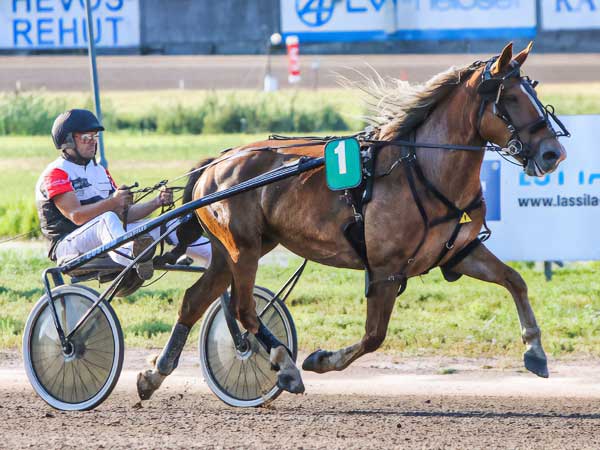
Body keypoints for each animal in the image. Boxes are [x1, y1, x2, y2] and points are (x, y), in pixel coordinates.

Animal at [137, 42, 568, 399]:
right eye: (510, 98)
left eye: (534, 92)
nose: (554, 153)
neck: (423, 169)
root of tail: (218, 161)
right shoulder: (385, 270)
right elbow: (374, 337)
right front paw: (320, 359)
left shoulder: (456, 253)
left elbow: (515, 280)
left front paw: (535, 350)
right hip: (243, 250)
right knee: (243, 309)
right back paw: (285, 364)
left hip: (236, 249)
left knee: (194, 301)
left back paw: (156, 374)